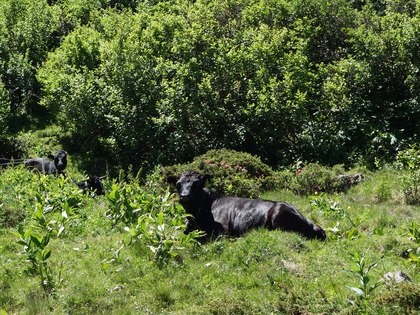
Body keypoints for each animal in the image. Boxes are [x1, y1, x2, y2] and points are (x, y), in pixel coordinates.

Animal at [168, 172, 328, 241]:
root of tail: (315, 226)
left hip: (278, 214)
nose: (184, 196)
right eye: (178, 184)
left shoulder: (222, 230)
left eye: (197, 184)